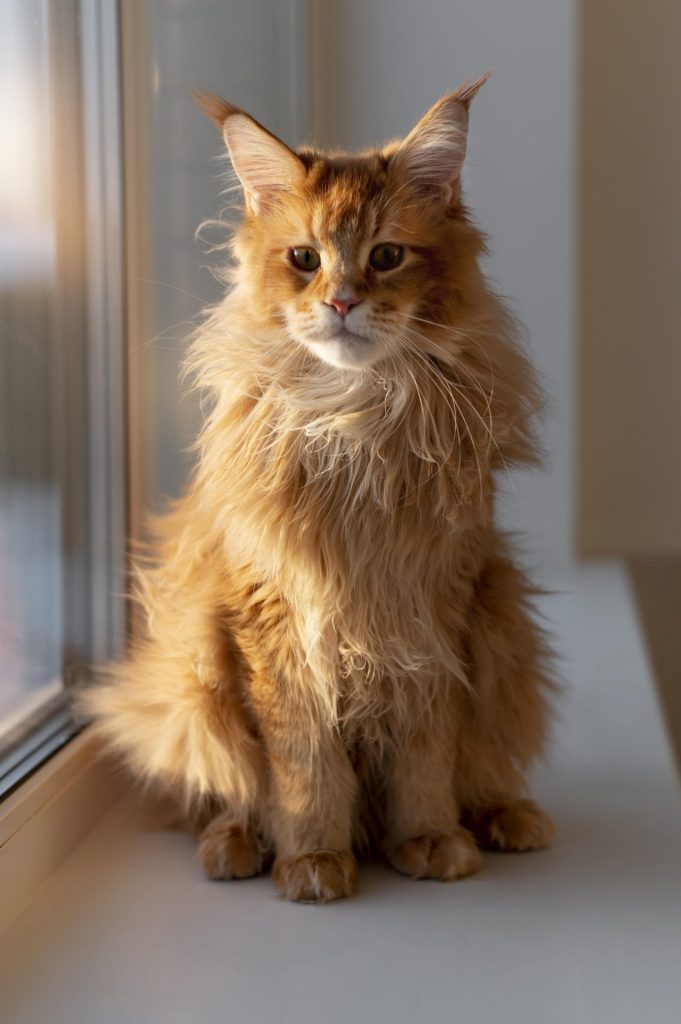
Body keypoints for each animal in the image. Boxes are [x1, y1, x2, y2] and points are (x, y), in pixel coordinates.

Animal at [83, 75, 552, 901]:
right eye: (303, 259)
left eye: (386, 256)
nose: (339, 301)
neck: (353, 422)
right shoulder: (273, 619)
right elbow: (303, 766)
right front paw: (310, 858)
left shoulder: (432, 610)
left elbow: (427, 755)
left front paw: (429, 838)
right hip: (194, 667)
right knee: (221, 788)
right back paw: (236, 841)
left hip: (503, 625)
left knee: (484, 766)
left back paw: (504, 817)